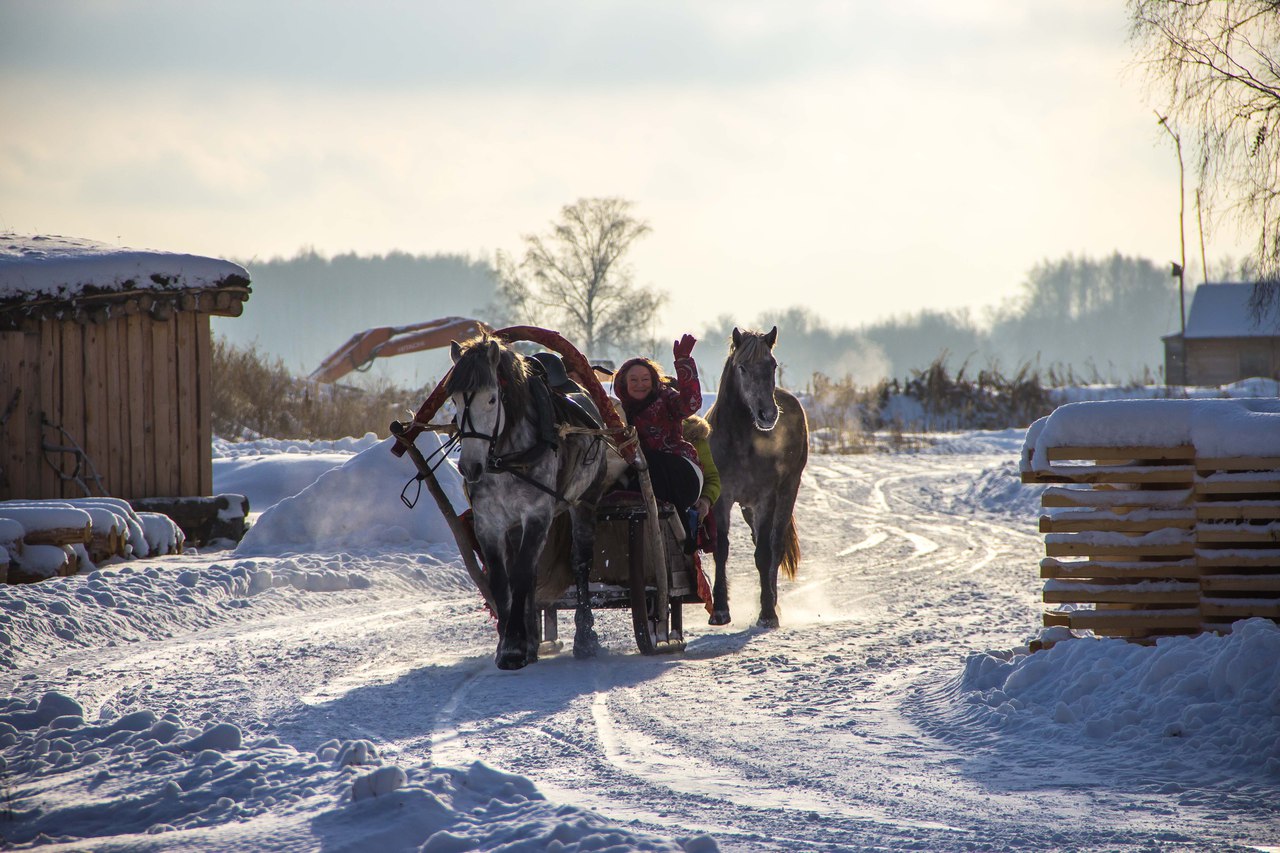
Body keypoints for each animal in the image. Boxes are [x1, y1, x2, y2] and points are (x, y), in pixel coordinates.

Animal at [448, 335, 611, 666]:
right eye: (455, 400)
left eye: (492, 399)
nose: (470, 467)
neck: (507, 460)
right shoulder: (489, 523)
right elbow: (503, 579)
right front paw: (510, 642)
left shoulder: (537, 515)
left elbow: (522, 573)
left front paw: (513, 645)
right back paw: (533, 641)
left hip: (585, 500)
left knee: (580, 563)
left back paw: (584, 635)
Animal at [706, 325, 803, 625]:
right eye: (742, 367)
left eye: (772, 365)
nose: (768, 414)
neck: (741, 442)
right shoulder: (722, 499)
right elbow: (721, 549)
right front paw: (720, 610)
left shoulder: (765, 499)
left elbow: (764, 554)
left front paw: (767, 612)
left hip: (787, 492)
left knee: (775, 545)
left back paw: (773, 603)